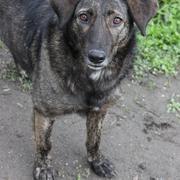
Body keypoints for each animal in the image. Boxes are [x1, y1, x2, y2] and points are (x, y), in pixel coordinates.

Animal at [0, 0, 158, 179]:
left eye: (117, 20)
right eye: (83, 17)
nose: (96, 57)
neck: (90, 79)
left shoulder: (99, 111)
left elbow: (94, 140)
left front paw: (97, 162)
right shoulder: (44, 112)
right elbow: (45, 144)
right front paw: (44, 167)